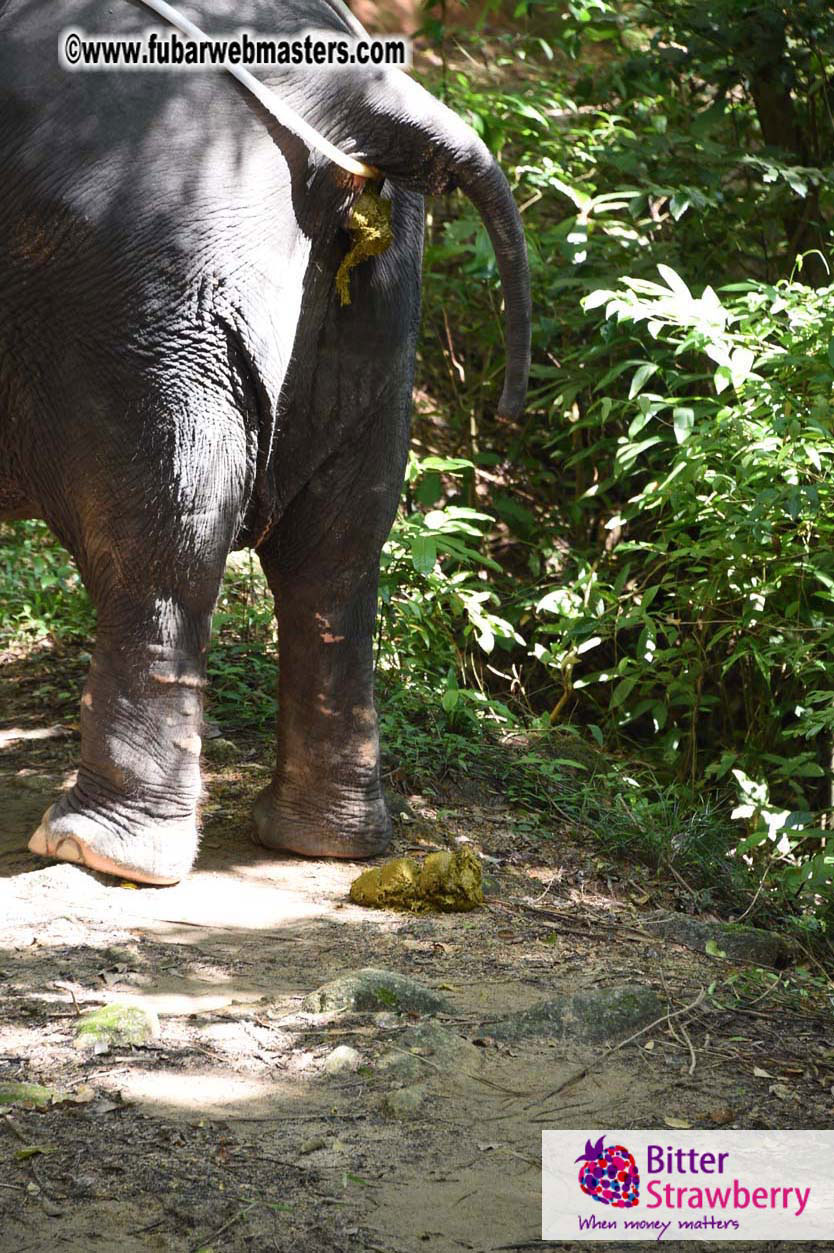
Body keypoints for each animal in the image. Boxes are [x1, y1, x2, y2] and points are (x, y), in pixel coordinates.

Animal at [0, 0, 530, 885]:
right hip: (383, 304)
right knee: (337, 556)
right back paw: (324, 840)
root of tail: (360, 97)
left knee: (157, 548)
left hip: (147, 306)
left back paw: (97, 849)